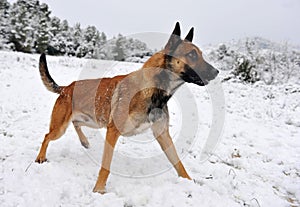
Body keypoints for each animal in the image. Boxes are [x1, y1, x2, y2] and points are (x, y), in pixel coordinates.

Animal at [35, 22, 219, 194]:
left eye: (200, 54)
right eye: (192, 54)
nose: (217, 72)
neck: (152, 89)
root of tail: (66, 88)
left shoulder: (163, 135)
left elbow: (178, 163)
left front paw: (189, 182)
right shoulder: (112, 131)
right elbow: (105, 166)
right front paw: (99, 190)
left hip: (94, 121)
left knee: (76, 124)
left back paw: (84, 141)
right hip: (60, 128)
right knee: (46, 136)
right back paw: (40, 157)